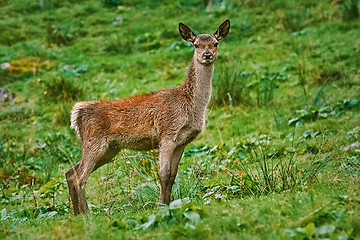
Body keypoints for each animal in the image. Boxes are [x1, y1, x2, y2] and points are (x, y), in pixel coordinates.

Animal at [65, 18, 231, 214]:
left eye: (215, 43)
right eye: (196, 44)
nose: (207, 55)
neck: (191, 107)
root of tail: (76, 114)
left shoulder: (183, 141)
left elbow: (173, 175)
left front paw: (167, 204)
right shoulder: (167, 134)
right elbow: (164, 174)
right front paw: (161, 207)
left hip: (109, 149)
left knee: (71, 172)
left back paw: (77, 214)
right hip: (94, 142)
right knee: (80, 177)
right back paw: (86, 214)